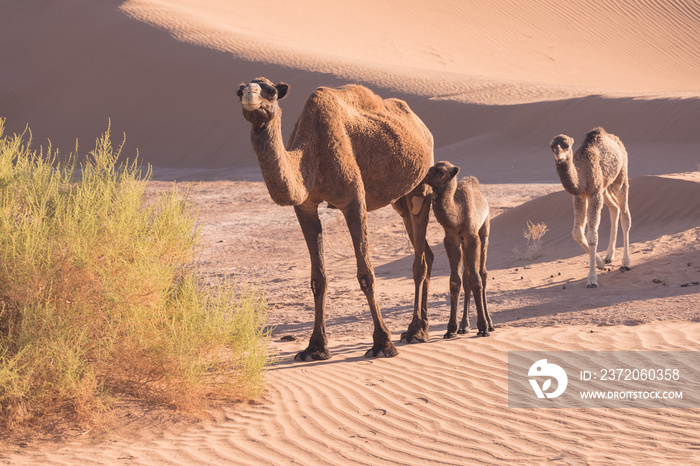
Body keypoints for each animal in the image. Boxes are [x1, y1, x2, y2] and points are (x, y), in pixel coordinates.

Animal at [238, 77, 434, 360]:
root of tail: (421, 126)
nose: (249, 97)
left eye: (272, 91)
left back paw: (415, 331)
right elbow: (318, 278)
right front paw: (315, 347)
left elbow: (366, 274)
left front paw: (383, 344)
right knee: (424, 249)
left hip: (420, 185)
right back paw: (422, 327)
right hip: (400, 199)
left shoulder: (353, 201)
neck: (311, 156)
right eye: (238, 91)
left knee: (420, 259)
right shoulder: (305, 207)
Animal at [422, 162, 492, 336]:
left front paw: (482, 327)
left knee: (482, 273)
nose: (424, 175)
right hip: (463, 243)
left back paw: (490, 323)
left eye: (440, 171)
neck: (458, 212)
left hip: (485, 231)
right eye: (432, 167)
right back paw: (463, 326)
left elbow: (476, 279)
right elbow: (455, 280)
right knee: (466, 277)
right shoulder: (451, 239)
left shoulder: (472, 237)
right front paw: (451, 329)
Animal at [548, 127, 632, 288]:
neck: (582, 175)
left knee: (625, 214)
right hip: (604, 187)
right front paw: (600, 263)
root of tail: (616, 139)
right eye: (552, 146)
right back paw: (609, 256)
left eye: (566, 145)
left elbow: (592, 236)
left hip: (621, 175)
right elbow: (577, 233)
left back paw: (625, 263)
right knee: (615, 208)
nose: (559, 157)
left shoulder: (594, 194)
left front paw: (592, 279)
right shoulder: (579, 196)